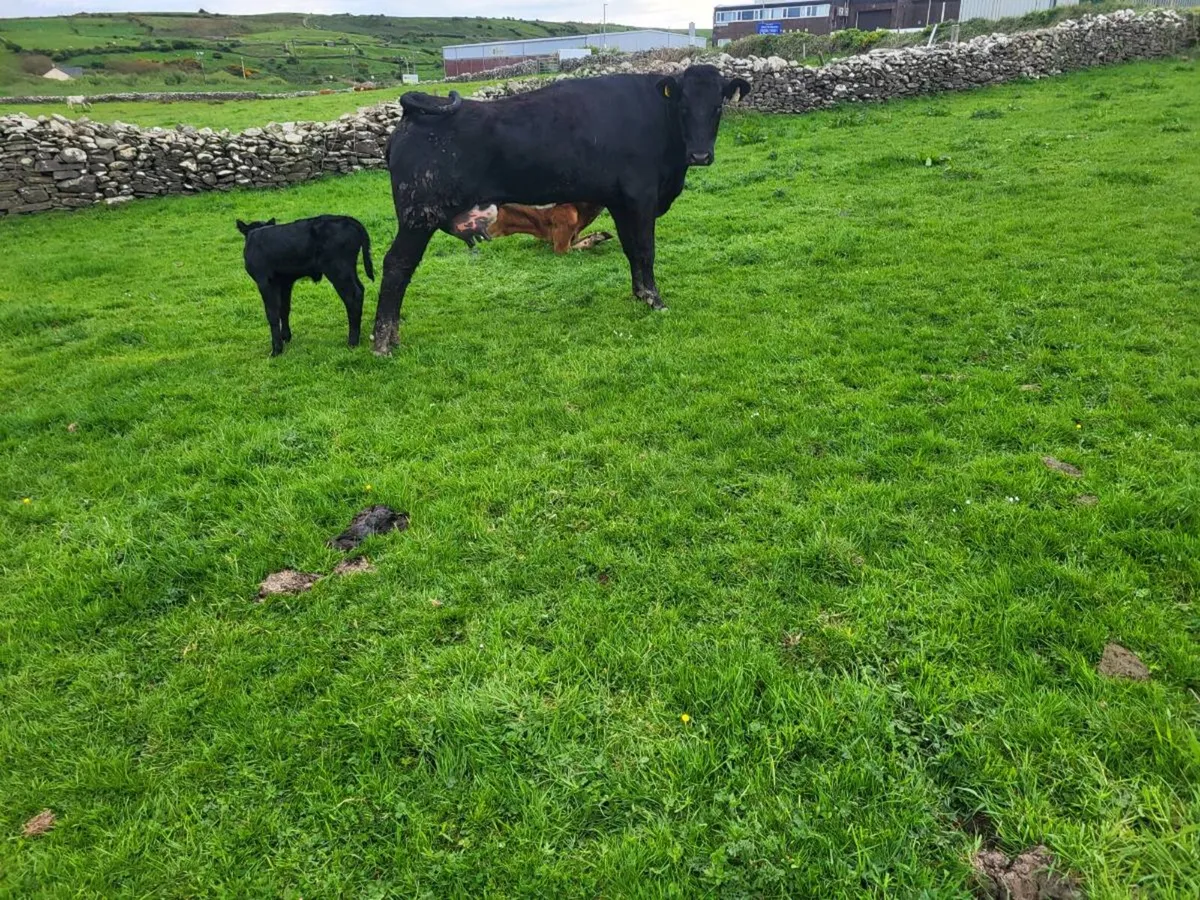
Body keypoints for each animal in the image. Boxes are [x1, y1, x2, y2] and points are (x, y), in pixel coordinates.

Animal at [237, 215, 374, 357]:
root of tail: (347, 219)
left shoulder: (265, 282)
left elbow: (272, 313)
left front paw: (276, 350)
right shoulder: (285, 283)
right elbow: (284, 309)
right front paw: (286, 337)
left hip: (338, 271)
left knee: (353, 297)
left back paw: (352, 341)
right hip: (348, 270)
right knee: (360, 289)